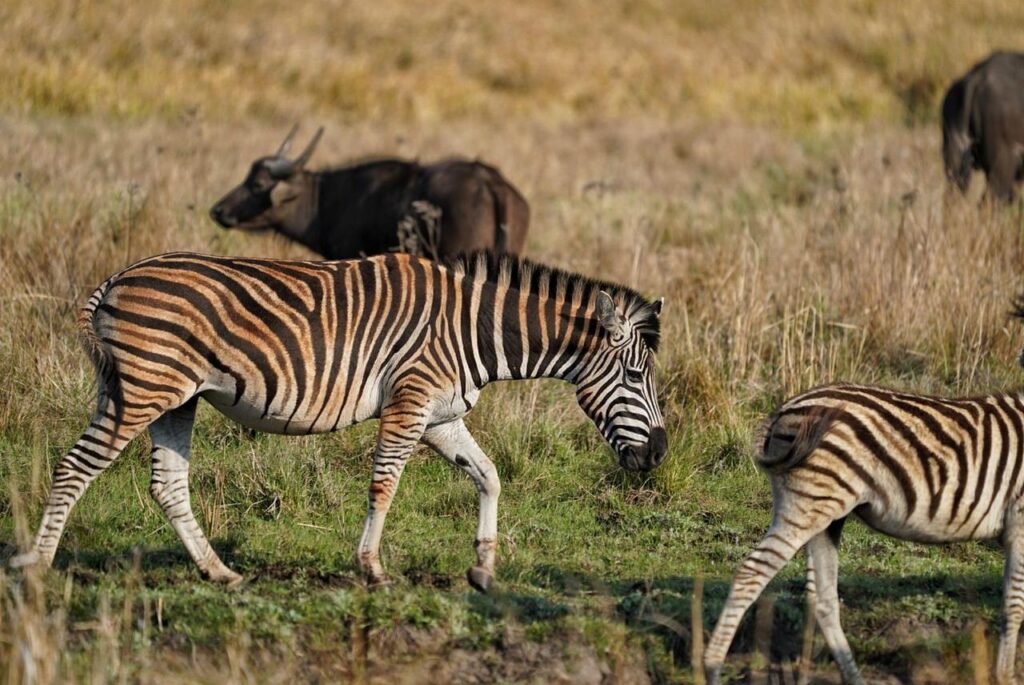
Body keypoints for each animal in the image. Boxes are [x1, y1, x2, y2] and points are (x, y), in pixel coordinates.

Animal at [12, 251, 667, 592]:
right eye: (637, 377)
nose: (659, 454)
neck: (472, 329)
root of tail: (117, 278)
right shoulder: (410, 400)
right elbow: (384, 485)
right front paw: (372, 568)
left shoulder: (439, 415)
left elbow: (489, 475)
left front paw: (482, 567)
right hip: (142, 389)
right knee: (74, 468)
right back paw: (37, 566)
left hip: (174, 398)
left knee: (166, 485)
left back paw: (220, 572)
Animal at [704, 380, 1024, 685]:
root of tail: (782, 410)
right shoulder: (1019, 526)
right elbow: (1014, 604)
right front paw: (1005, 677)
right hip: (806, 505)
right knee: (751, 573)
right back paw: (712, 668)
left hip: (825, 514)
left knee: (822, 598)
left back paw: (853, 677)